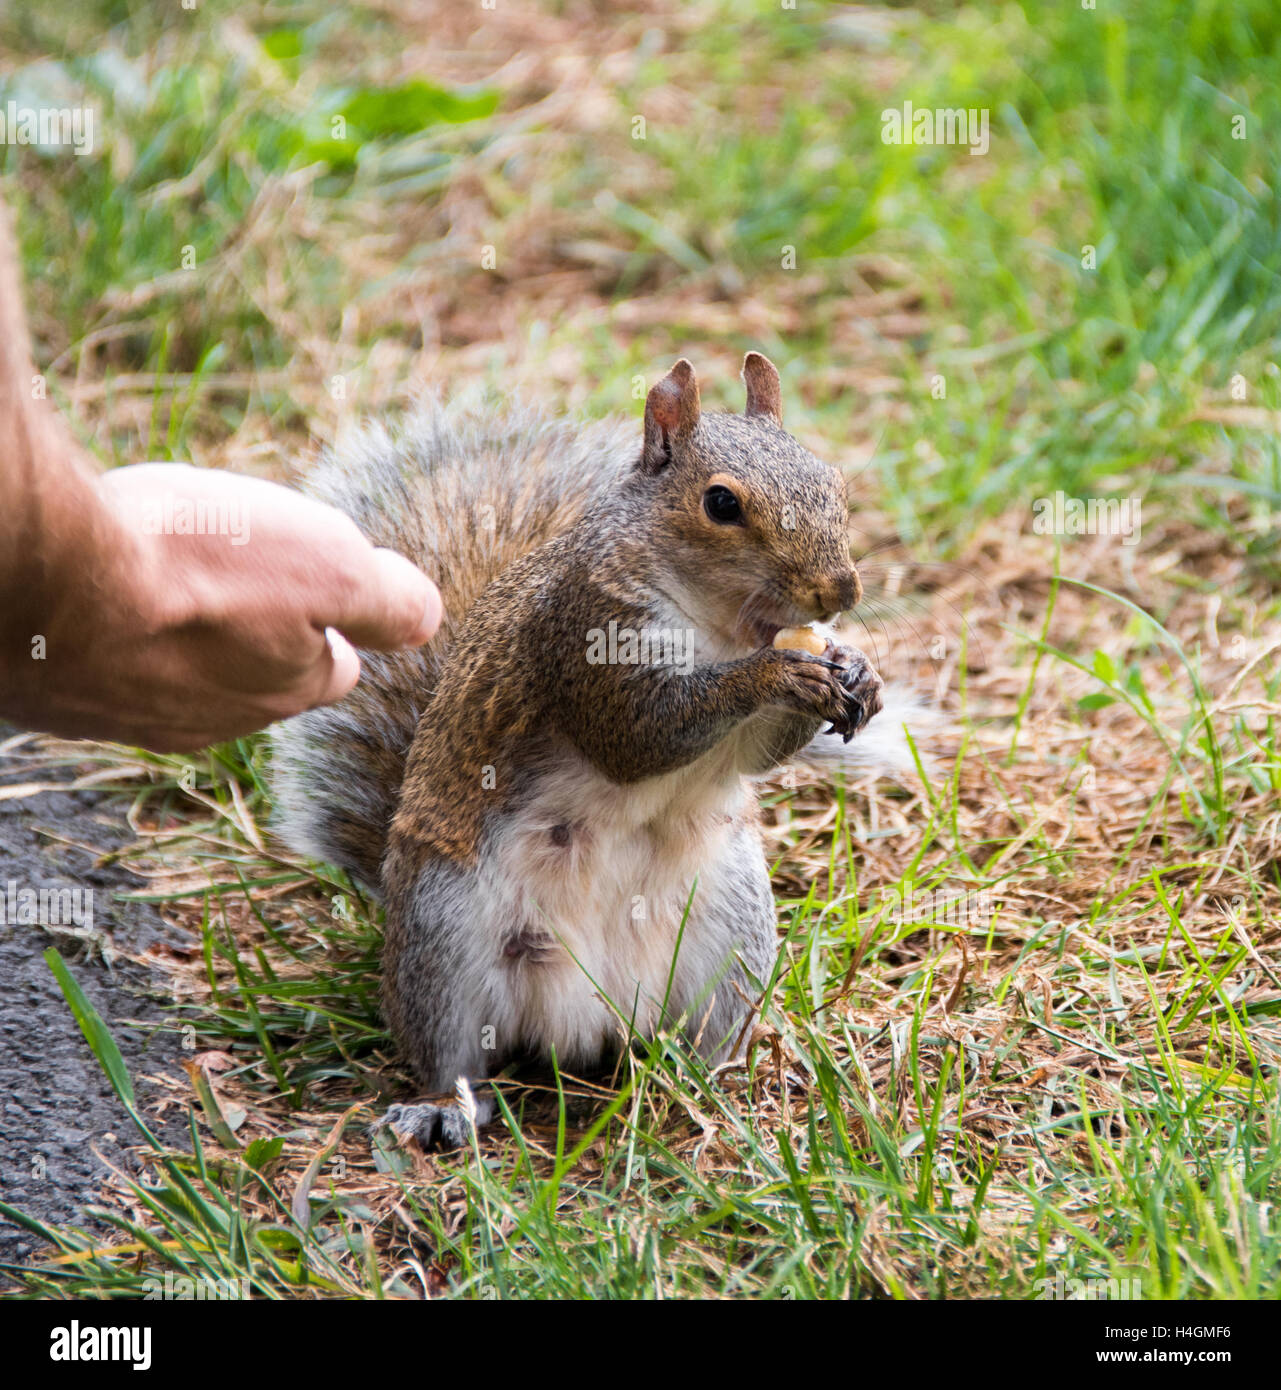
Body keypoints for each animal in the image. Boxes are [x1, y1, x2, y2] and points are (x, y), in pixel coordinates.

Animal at [271, 353, 908, 1149]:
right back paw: (444, 1107)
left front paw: (857, 670)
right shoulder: (585, 637)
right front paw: (776, 676)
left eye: (833, 483)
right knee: (451, 1051)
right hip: (442, 938)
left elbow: (754, 756)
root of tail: (586, 1018)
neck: (724, 627)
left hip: (731, 938)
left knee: (703, 1031)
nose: (839, 591)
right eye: (720, 504)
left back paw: (714, 1081)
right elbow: (636, 737)